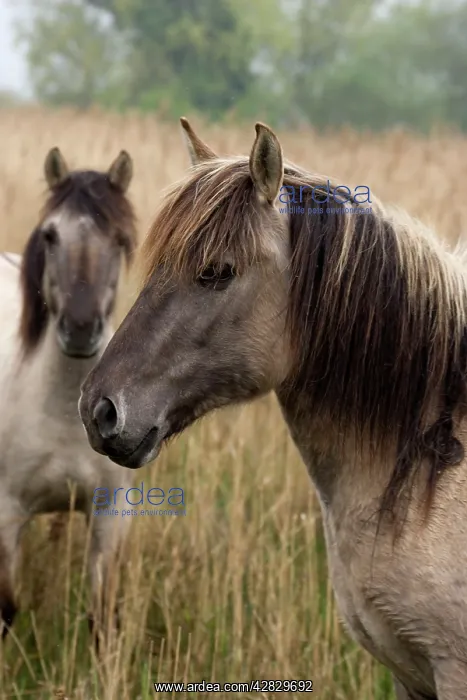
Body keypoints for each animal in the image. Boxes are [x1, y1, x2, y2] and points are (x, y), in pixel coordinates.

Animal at [0, 146, 137, 647]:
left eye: (119, 238)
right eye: (51, 235)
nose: (80, 329)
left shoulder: (112, 515)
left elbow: (102, 620)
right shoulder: (7, 516)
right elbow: (7, 609)